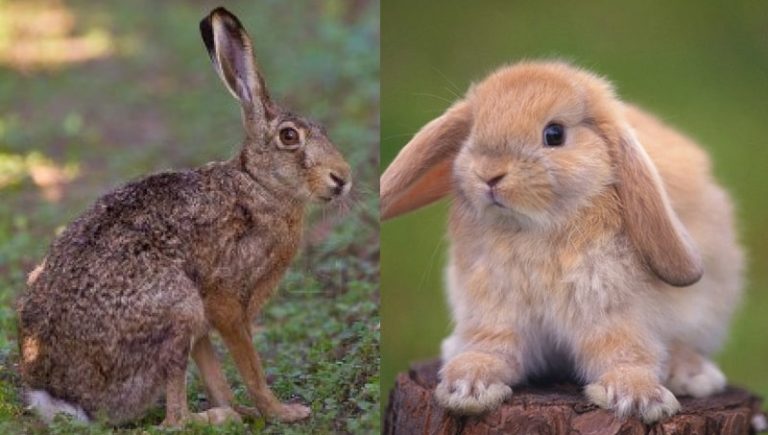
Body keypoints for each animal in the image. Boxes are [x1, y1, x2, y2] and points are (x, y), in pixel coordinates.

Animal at [17, 7, 351, 427]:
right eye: (289, 137)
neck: (258, 184)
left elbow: (213, 370)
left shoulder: (206, 319)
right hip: (177, 310)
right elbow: (250, 367)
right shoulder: (223, 299)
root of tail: (65, 396)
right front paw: (283, 412)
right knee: (173, 421)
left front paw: (244, 408)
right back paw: (215, 418)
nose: (343, 178)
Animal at [380, 60, 744, 423]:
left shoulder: (611, 311)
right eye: (472, 131)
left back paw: (694, 376)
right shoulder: (495, 309)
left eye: (554, 134)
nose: (489, 174)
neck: (533, 228)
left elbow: (625, 352)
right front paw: (467, 387)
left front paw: (639, 399)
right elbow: (492, 348)